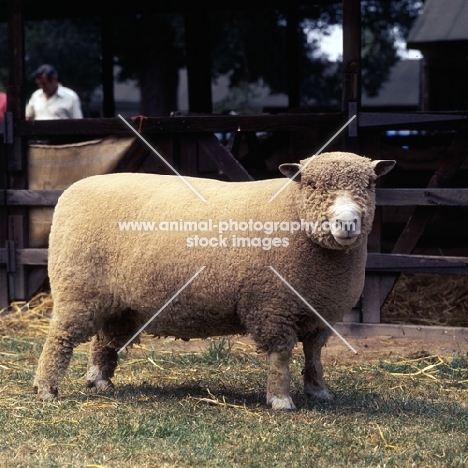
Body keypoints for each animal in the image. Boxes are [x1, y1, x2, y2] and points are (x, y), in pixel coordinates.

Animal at [33, 152, 394, 408]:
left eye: (370, 185)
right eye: (313, 185)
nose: (346, 223)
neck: (293, 213)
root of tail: (72, 189)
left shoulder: (320, 312)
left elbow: (314, 355)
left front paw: (318, 391)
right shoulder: (272, 305)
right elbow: (280, 357)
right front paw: (281, 399)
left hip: (121, 302)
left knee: (105, 339)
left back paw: (100, 380)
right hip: (78, 288)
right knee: (60, 338)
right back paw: (46, 388)